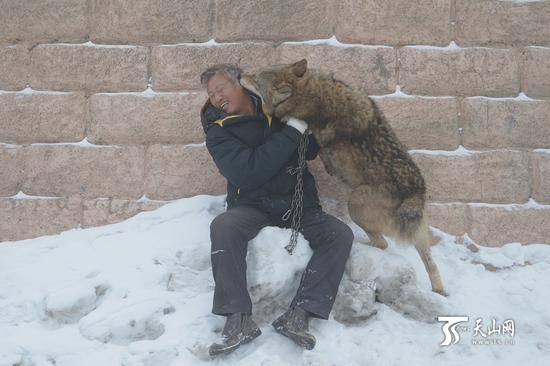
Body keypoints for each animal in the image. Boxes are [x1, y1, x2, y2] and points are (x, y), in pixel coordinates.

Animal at [242, 58, 448, 296]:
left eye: (255, 78)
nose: (239, 75)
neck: (313, 94)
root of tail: (416, 190)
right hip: (418, 234)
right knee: (430, 263)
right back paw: (439, 290)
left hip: (355, 205)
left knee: (383, 244)